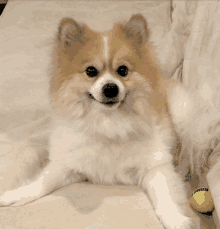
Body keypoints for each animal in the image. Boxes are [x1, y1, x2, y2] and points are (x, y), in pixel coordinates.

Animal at [0, 15, 199, 228]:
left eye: (123, 70)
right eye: (90, 71)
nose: (110, 88)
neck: (107, 123)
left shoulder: (155, 167)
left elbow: (165, 196)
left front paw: (176, 219)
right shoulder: (70, 165)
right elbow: (41, 183)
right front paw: (16, 195)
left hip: (182, 111)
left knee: (188, 151)